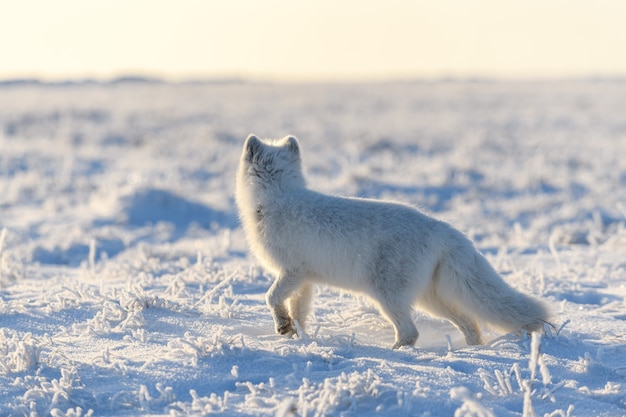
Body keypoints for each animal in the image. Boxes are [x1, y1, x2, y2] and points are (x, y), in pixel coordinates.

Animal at [236, 134, 548, 348]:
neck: (278, 197)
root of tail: (442, 228)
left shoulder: (292, 272)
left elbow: (270, 297)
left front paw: (283, 326)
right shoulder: (305, 279)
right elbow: (299, 311)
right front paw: (295, 336)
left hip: (388, 296)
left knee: (411, 332)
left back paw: (393, 353)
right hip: (431, 298)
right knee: (469, 322)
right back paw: (473, 352)